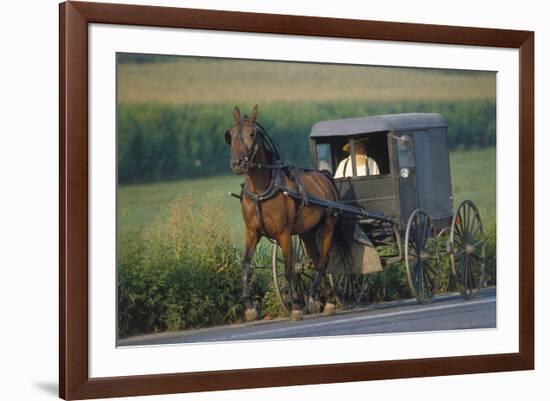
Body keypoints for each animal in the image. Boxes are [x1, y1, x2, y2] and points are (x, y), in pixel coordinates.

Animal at [225, 104, 350, 320]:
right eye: (231, 134)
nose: (237, 163)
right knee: (316, 260)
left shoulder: (283, 233)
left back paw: (317, 299)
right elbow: (246, 265)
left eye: (251, 133)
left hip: (328, 225)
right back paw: (323, 300)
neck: (261, 191)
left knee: (323, 261)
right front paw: (249, 307)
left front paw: (297, 306)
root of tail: (324, 177)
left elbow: (290, 267)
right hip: (307, 232)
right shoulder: (252, 232)